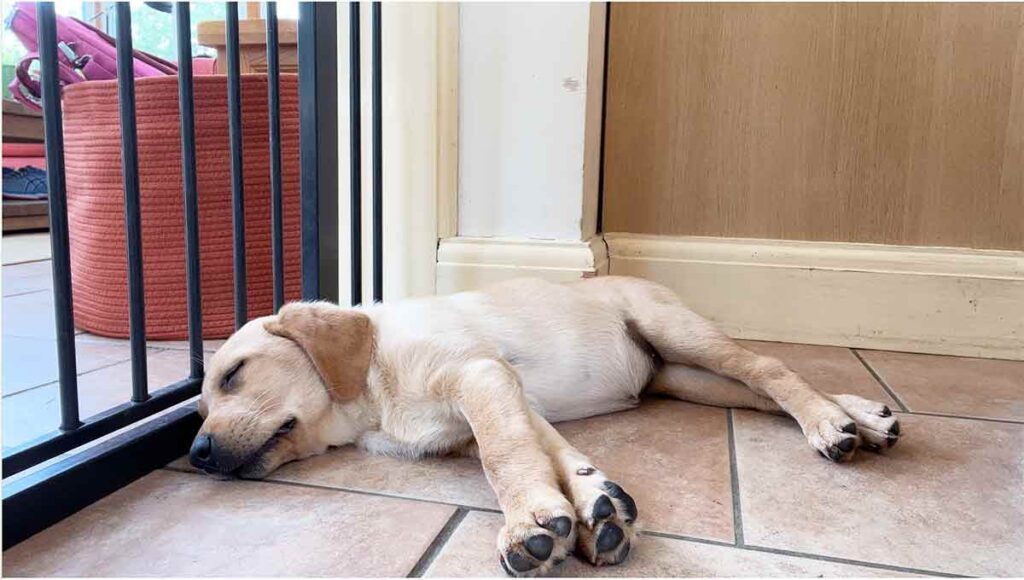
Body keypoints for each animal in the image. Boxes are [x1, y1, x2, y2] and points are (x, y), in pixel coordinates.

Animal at [190, 276, 897, 577]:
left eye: (234, 375)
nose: (196, 452)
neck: (372, 390)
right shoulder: (507, 397)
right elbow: (550, 450)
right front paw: (592, 502)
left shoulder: (480, 377)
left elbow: (504, 457)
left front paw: (528, 521)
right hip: (683, 376)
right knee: (757, 392)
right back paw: (861, 414)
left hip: (679, 332)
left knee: (769, 368)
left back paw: (829, 424)